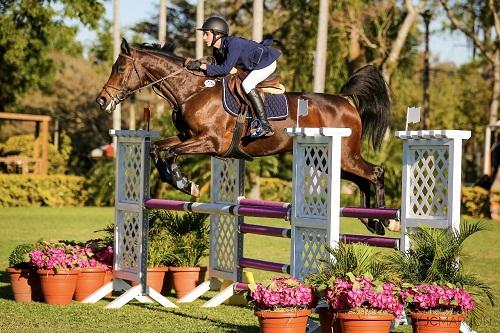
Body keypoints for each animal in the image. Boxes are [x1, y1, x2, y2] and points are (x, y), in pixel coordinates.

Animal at [97, 39, 392, 233]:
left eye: (120, 69)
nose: (102, 100)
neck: (192, 91)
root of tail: (345, 102)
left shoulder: (210, 142)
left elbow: (169, 152)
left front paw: (184, 183)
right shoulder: (187, 137)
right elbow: (157, 148)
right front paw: (182, 182)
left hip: (344, 156)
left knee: (375, 172)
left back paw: (386, 219)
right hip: (328, 161)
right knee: (363, 179)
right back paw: (371, 222)